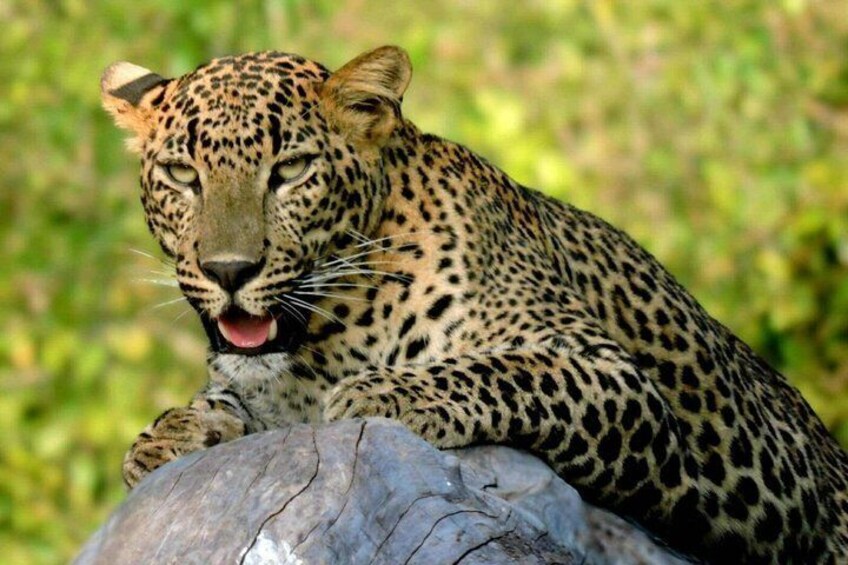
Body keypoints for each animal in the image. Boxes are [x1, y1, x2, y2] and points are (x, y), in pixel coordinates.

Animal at [100, 45, 848, 563]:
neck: (329, 336)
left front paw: (384, 393)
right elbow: (222, 398)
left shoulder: (611, 376)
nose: (229, 270)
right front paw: (169, 432)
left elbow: (502, 369)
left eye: (290, 172)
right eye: (181, 175)